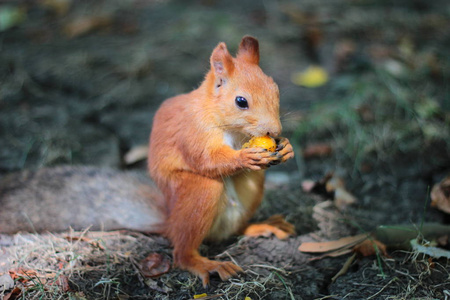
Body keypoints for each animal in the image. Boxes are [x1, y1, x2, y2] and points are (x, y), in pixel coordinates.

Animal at [149, 35, 296, 286]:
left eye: (275, 90)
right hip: (200, 191)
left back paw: (263, 226)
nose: (275, 131)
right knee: (182, 253)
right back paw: (206, 264)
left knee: (235, 229)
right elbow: (206, 159)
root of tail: (168, 222)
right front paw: (244, 157)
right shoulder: (193, 130)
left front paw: (286, 146)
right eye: (241, 101)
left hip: (253, 188)